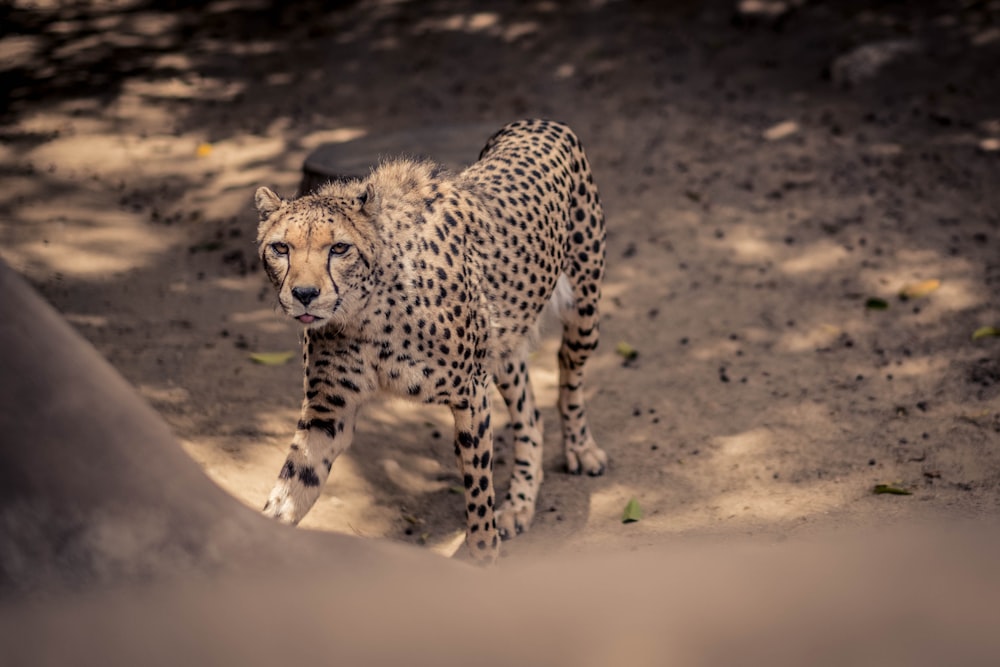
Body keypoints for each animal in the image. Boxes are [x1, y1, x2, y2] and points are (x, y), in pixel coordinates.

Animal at [254, 120, 604, 564]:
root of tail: (538, 122)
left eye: (339, 248)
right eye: (280, 248)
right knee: (530, 413)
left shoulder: (470, 394)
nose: (303, 294)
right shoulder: (327, 414)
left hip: (583, 312)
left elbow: (478, 492)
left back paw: (581, 451)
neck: (366, 314)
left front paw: (483, 556)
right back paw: (520, 504)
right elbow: (291, 488)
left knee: (568, 377)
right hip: (502, 346)